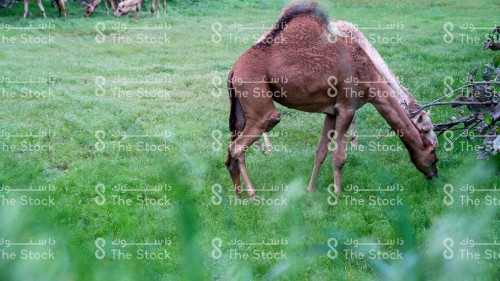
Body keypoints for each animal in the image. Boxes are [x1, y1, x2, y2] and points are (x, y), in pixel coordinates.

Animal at [225, 3, 440, 198]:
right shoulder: (347, 107)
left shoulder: (331, 112)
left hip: (240, 106)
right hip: (260, 100)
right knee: (243, 142)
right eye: (434, 154)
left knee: (233, 143)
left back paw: (239, 194)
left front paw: (310, 189)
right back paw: (251, 192)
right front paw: (337, 193)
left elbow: (321, 152)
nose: (435, 175)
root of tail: (233, 70)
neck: (369, 74)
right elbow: (339, 156)